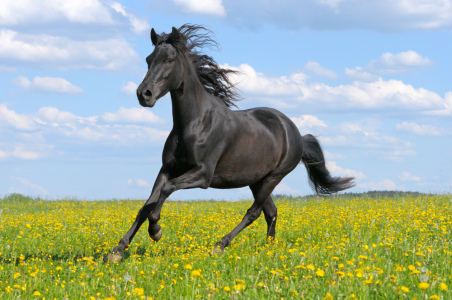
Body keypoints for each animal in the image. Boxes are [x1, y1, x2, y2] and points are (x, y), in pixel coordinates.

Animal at [107, 24, 354, 262]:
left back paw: (220, 245)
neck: (194, 123)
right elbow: (146, 205)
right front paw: (117, 250)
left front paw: (156, 231)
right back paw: (269, 250)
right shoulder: (167, 169)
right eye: (148, 59)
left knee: (254, 212)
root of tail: (296, 134)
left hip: (274, 177)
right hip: (257, 180)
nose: (144, 94)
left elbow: (166, 191)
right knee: (271, 212)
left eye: (170, 59)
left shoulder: (203, 175)